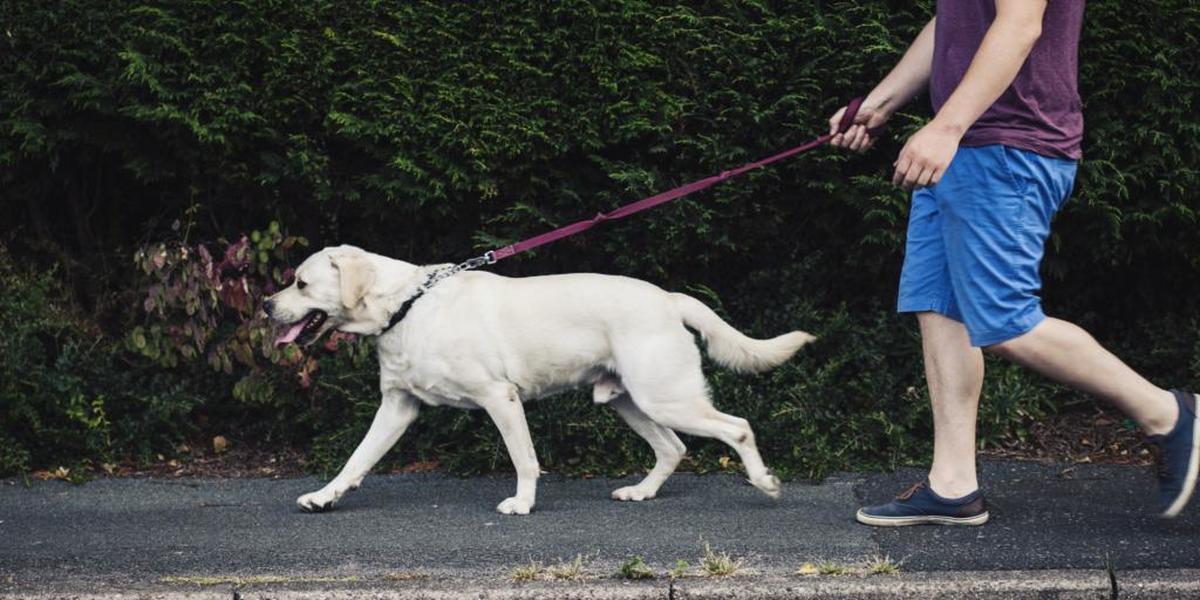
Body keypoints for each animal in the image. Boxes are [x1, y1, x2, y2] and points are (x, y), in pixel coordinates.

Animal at [267, 244, 816, 516]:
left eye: (301, 283)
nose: (267, 306)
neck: (407, 303)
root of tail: (669, 297)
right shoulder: (397, 406)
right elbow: (356, 459)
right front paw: (325, 497)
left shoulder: (500, 398)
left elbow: (525, 460)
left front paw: (523, 503)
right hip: (631, 402)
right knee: (673, 448)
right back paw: (641, 493)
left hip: (666, 397)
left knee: (737, 427)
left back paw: (764, 483)